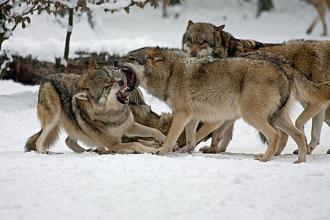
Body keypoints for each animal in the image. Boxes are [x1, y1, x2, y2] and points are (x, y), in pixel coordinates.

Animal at [118, 46, 330, 163]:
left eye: (130, 59)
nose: (114, 61)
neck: (169, 73)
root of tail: (283, 67)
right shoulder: (193, 116)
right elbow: (191, 137)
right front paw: (186, 150)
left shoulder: (182, 114)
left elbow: (171, 137)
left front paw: (161, 152)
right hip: (277, 117)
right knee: (298, 135)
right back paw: (299, 161)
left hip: (252, 116)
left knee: (277, 136)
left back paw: (264, 159)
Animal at [182, 20, 330, 155]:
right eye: (190, 41)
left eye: (203, 42)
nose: (192, 55)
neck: (225, 52)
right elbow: (226, 132)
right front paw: (218, 149)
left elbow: (218, 131)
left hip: (306, 102)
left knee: (297, 125)